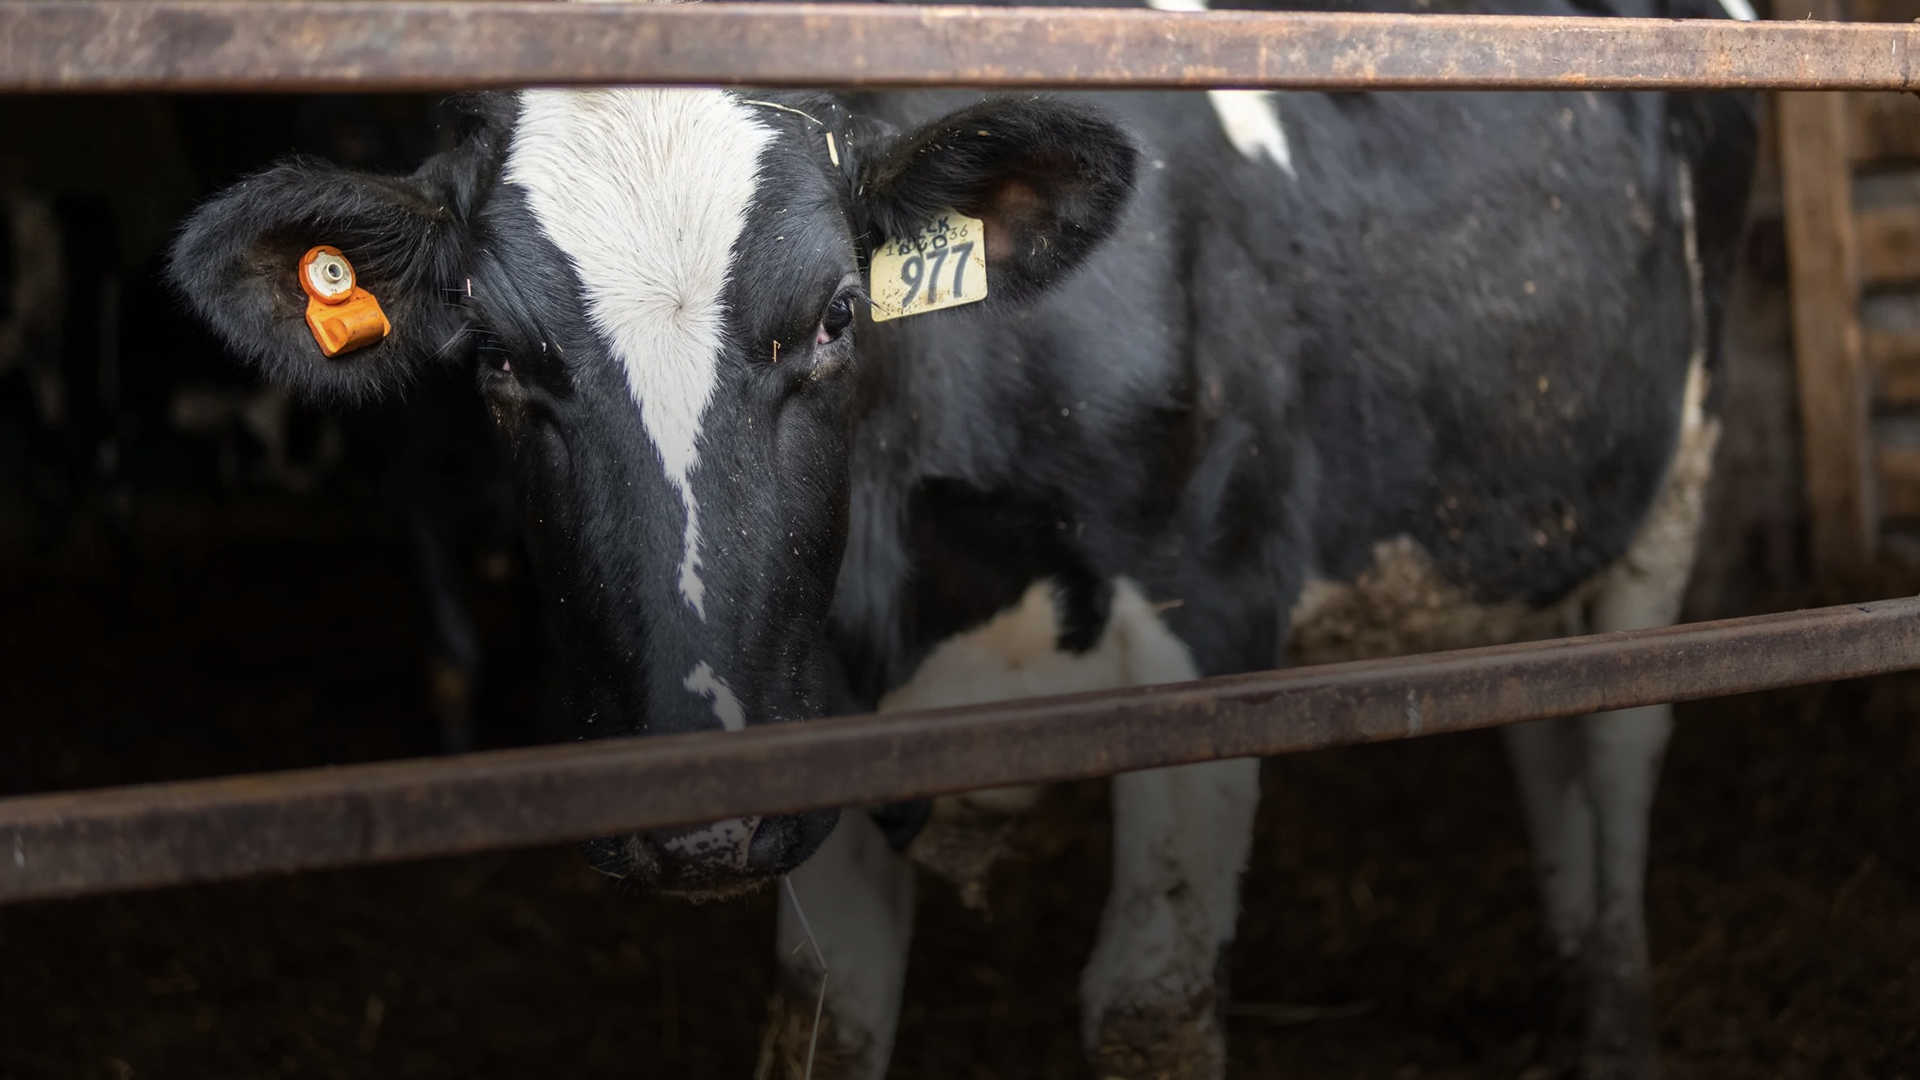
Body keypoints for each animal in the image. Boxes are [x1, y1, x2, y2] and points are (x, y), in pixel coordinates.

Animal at [164, 0, 1759, 1073]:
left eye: (834, 318)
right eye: (496, 360)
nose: (690, 821)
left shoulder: (1212, 637)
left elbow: (1151, 1005)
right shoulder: (811, 722)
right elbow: (823, 1021)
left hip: (1683, 468)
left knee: (1623, 738)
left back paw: (1614, 1019)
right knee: (1540, 728)